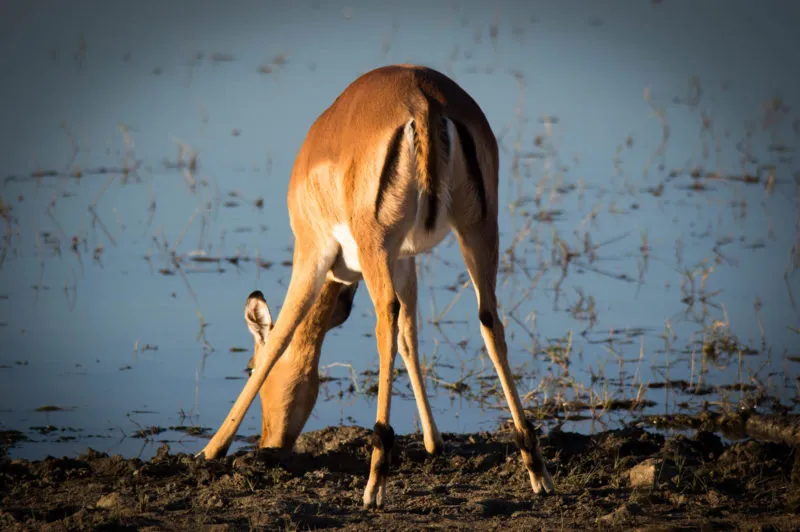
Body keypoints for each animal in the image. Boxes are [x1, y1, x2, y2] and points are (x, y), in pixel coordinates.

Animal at [197, 64, 555, 508]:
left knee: (386, 320)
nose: (269, 444)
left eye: (247, 366)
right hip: (478, 231)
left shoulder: (311, 253)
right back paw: (536, 468)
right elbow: (411, 337)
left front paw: (210, 450)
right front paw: (434, 442)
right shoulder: (405, 257)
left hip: (375, 244)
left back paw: (375, 480)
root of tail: (424, 99)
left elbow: (281, 337)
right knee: (489, 321)